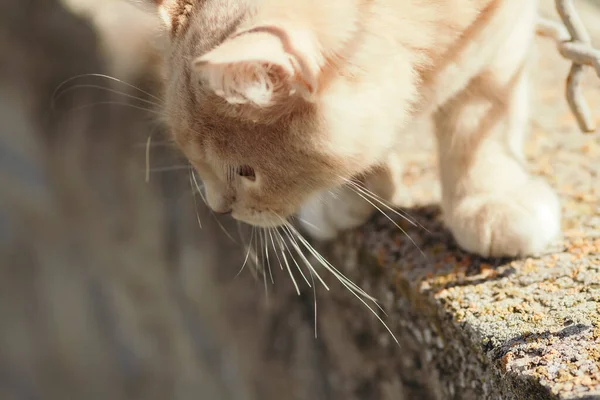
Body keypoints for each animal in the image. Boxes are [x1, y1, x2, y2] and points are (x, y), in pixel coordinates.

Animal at [148, 0, 560, 258]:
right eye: (195, 162)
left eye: (246, 172)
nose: (218, 209)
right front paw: (348, 190)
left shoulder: (501, 27)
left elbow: (480, 117)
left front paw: (493, 197)